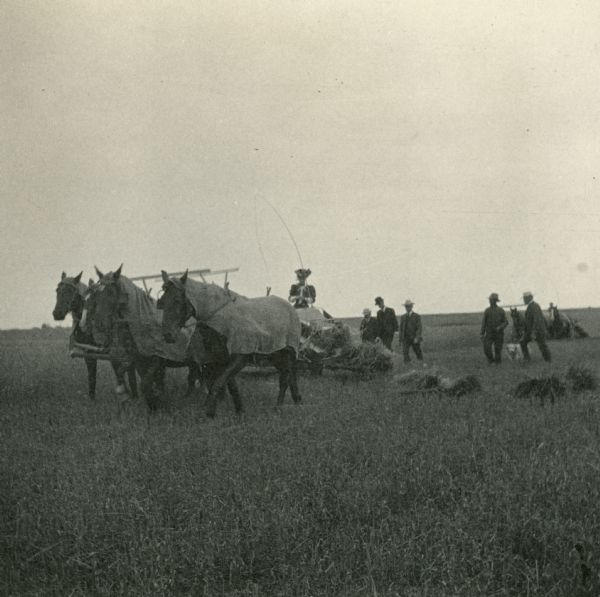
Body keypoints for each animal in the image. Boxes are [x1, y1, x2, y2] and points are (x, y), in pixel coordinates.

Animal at [89, 266, 202, 410]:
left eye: (111, 291)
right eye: (96, 294)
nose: (99, 324)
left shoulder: (156, 360)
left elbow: (146, 384)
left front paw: (156, 401)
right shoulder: (139, 361)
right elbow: (145, 384)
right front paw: (154, 404)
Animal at [159, 268, 302, 414]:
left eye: (177, 300)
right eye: (162, 302)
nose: (168, 335)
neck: (220, 318)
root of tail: (291, 308)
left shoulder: (240, 357)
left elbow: (218, 383)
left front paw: (208, 411)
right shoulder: (221, 359)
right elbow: (231, 385)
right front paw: (240, 410)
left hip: (288, 353)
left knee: (285, 378)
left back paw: (278, 407)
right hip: (275, 356)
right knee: (290, 376)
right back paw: (297, 401)